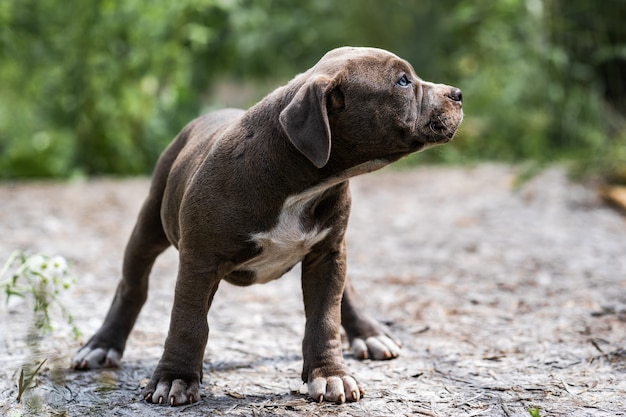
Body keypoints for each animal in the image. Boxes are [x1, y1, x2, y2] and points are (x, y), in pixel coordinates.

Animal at [74, 45, 464, 404]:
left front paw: (330, 375)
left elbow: (324, 317)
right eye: (402, 81)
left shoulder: (327, 252)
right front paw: (175, 379)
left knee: (345, 291)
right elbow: (188, 321)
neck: (303, 179)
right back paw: (102, 345)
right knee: (132, 285)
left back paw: (368, 333)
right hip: (150, 222)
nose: (458, 94)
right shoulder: (199, 260)